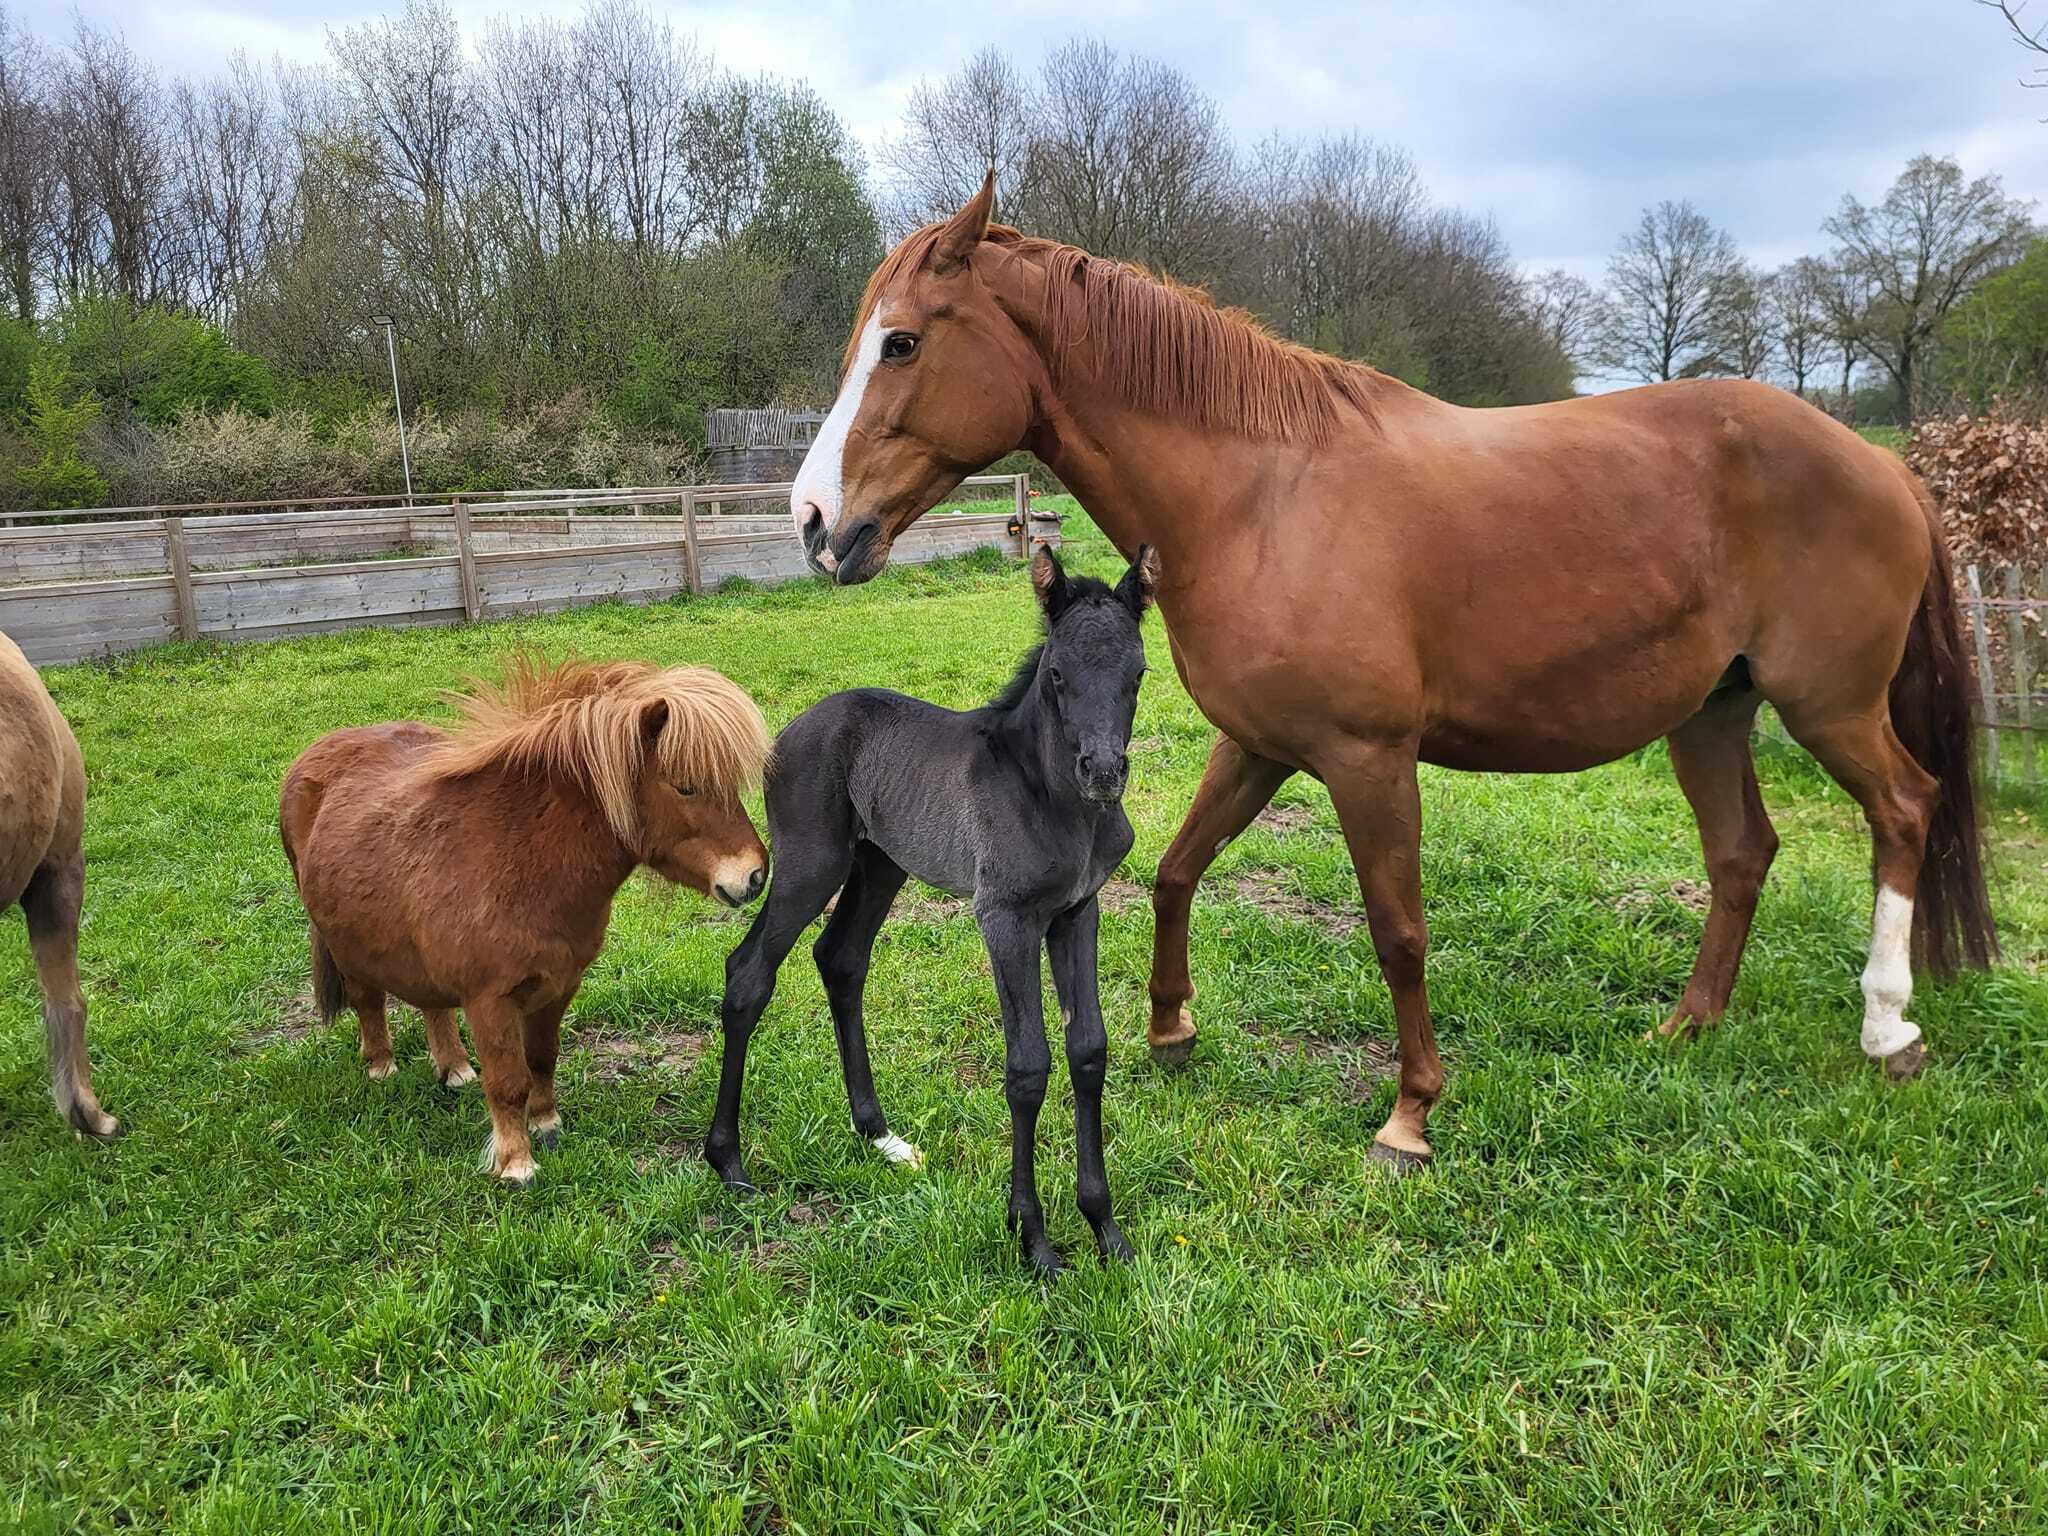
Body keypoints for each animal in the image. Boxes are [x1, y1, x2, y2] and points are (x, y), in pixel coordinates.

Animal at [280, 655, 770, 1187]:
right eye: (686, 786)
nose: (755, 876)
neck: (519, 859)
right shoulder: (490, 1002)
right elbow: (508, 1081)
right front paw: (516, 1162)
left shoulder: (559, 986)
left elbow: (541, 1058)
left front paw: (547, 1123)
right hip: (345, 942)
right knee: (367, 999)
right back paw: (381, 1067)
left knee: (432, 1005)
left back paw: (453, 1067)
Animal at [704, 544, 1155, 1277]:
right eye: (1057, 673)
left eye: (1138, 672)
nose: (1103, 773)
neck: (1051, 795)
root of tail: (793, 728)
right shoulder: (1005, 917)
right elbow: (1028, 1067)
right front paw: (1033, 1240)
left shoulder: (1077, 911)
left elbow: (1088, 1049)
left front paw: (1105, 1229)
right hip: (811, 864)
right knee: (749, 974)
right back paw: (729, 1161)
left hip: (880, 865)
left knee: (840, 959)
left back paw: (879, 1136)